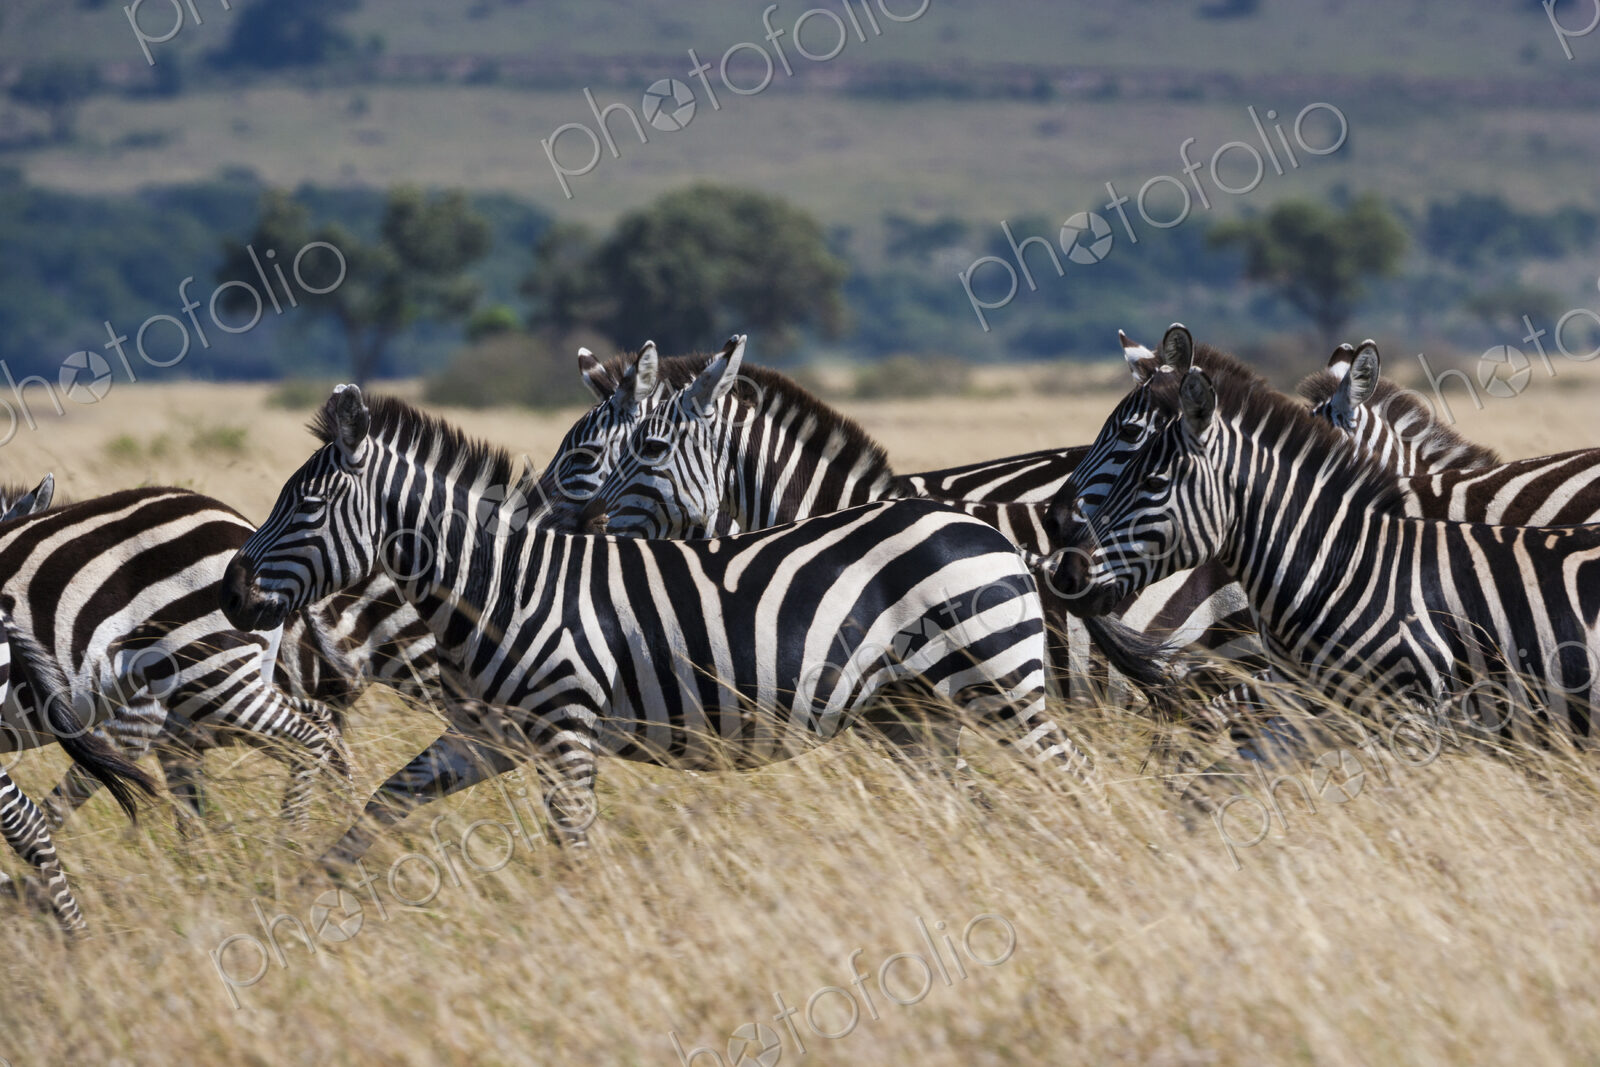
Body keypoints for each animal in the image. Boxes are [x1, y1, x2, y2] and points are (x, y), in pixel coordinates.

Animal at [220, 385, 1089, 864]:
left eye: (306, 504)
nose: (231, 592)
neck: (506, 587)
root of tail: (985, 528)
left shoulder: (565, 726)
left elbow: (572, 841)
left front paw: (579, 926)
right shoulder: (488, 734)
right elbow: (383, 804)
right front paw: (305, 891)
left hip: (996, 678)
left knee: (1072, 773)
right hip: (916, 713)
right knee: (973, 803)